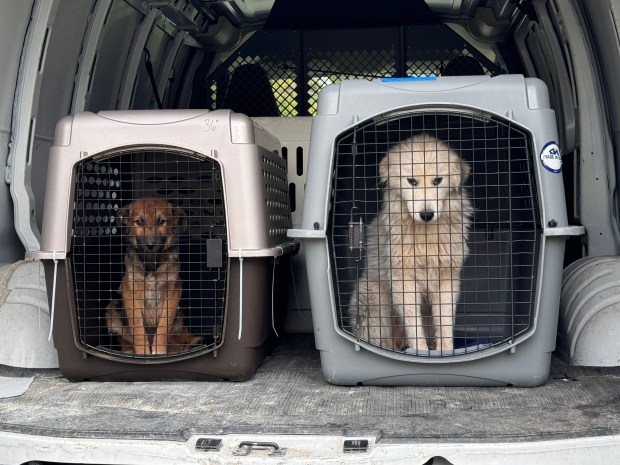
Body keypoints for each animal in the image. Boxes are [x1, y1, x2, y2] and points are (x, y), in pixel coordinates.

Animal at [103, 197, 197, 356]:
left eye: (161, 221)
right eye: (139, 222)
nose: (150, 245)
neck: (152, 263)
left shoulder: (173, 292)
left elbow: (163, 326)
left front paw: (158, 350)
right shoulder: (131, 292)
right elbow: (138, 328)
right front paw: (143, 352)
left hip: (179, 318)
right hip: (112, 310)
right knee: (125, 339)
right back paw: (129, 351)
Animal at [346, 132, 472, 350]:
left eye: (438, 180)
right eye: (411, 181)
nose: (426, 214)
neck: (425, 236)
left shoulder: (446, 279)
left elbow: (445, 322)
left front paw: (446, 351)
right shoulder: (404, 280)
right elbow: (413, 324)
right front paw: (420, 351)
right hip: (371, 303)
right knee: (380, 341)